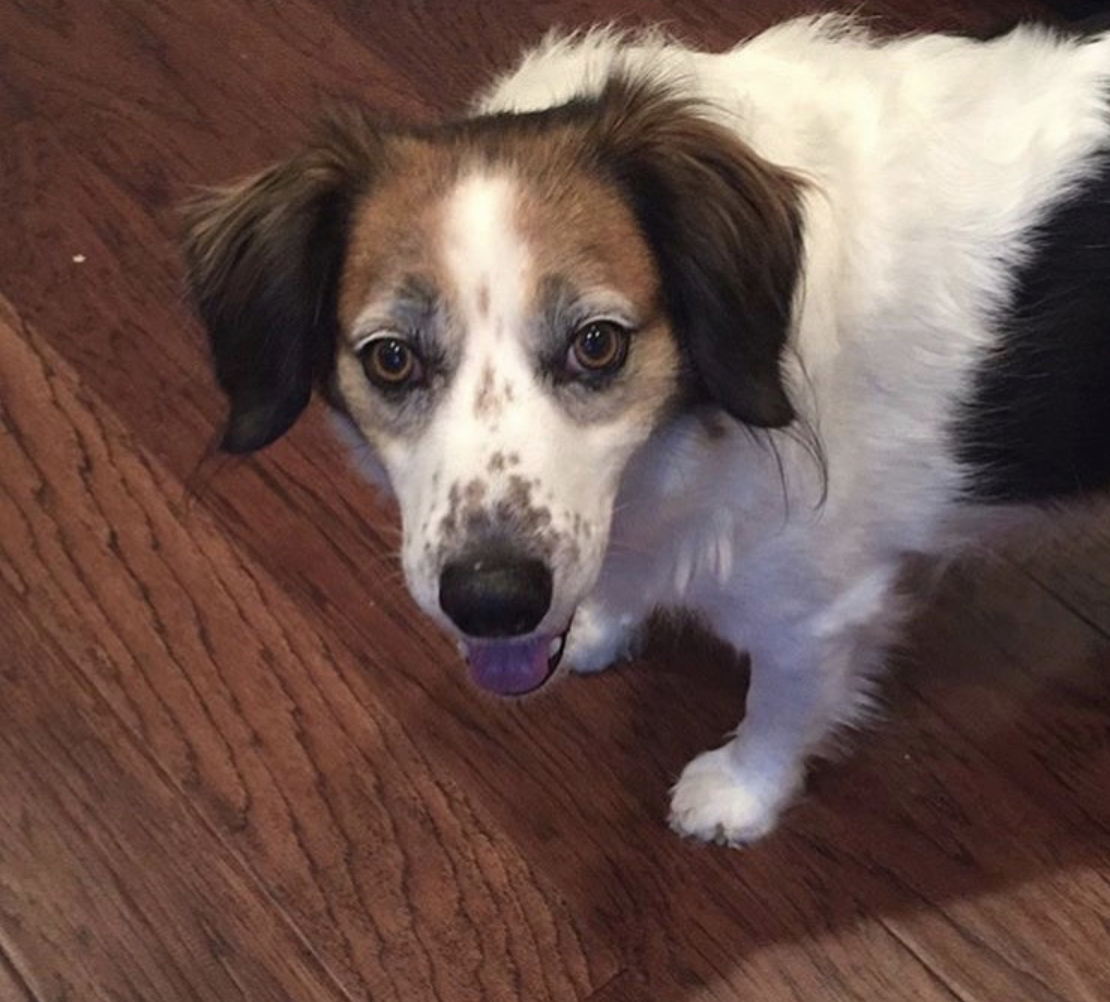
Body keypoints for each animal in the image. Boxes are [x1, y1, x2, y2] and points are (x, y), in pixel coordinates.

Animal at [182, 17, 1110, 847]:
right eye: (391, 359)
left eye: (598, 344)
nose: (492, 602)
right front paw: (601, 623)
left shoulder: (816, 609)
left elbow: (780, 703)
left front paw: (740, 794)